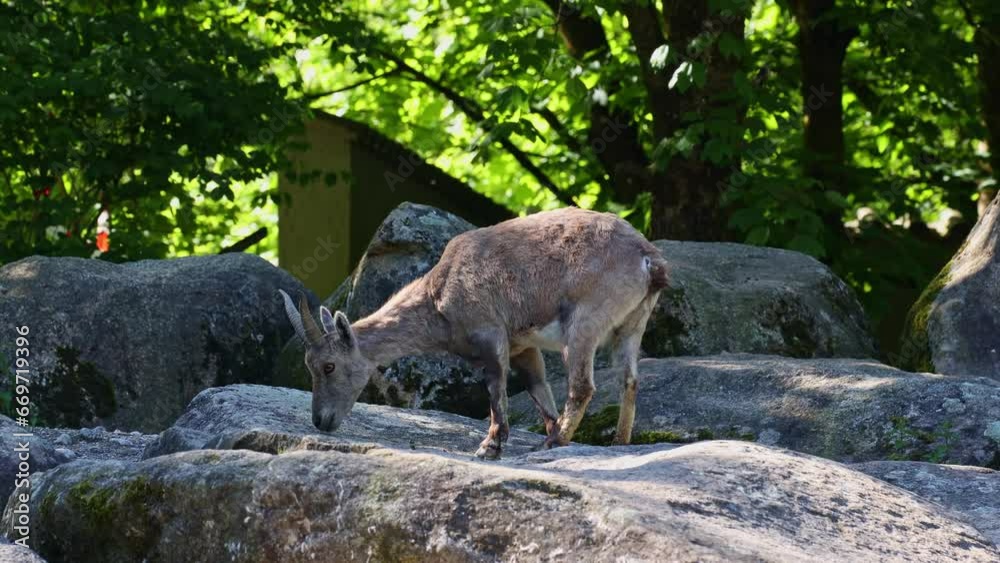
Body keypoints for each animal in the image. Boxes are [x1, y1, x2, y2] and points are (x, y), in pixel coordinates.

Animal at [280, 207, 668, 459]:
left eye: (329, 366)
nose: (321, 421)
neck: (437, 295)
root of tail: (649, 259)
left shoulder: (490, 335)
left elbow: (496, 390)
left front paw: (490, 446)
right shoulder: (522, 345)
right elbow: (537, 388)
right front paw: (542, 430)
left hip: (584, 323)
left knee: (583, 386)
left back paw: (554, 444)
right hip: (632, 324)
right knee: (630, 379)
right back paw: (617, 442)